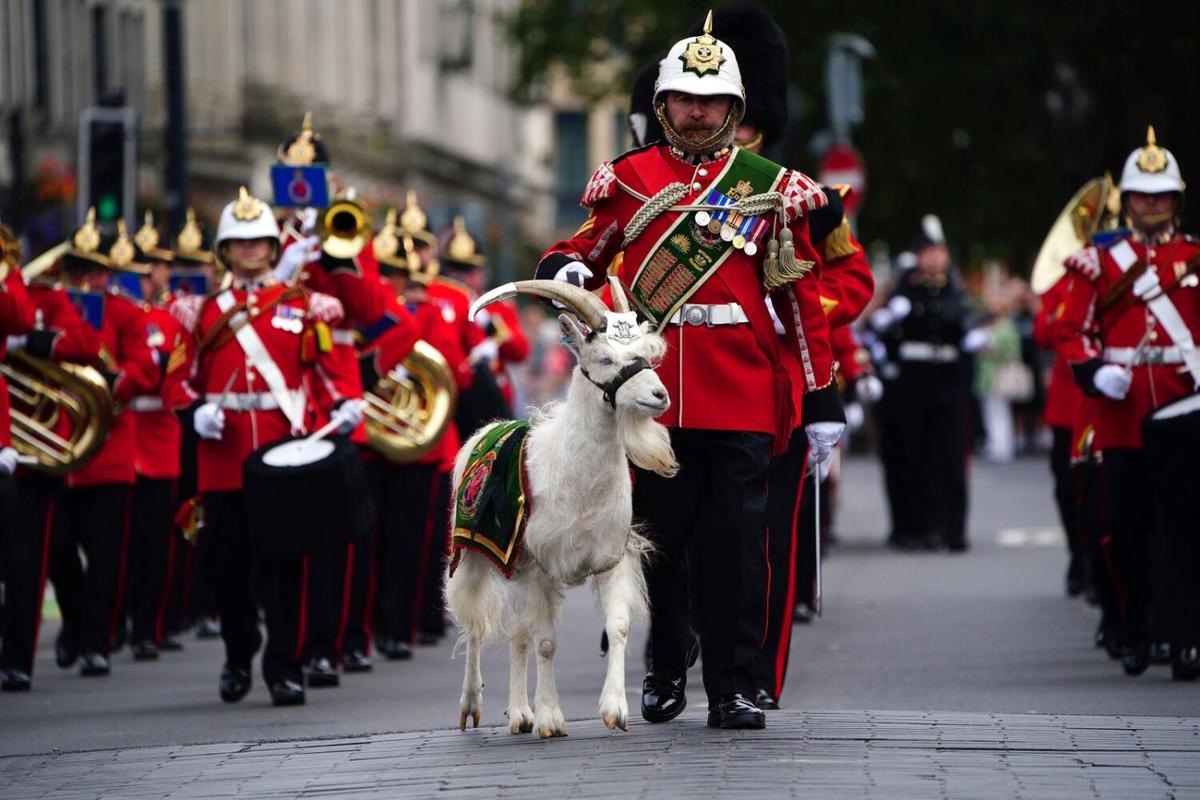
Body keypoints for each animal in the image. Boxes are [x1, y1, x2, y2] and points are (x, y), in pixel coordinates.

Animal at [448, 277, 681, 738]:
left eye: (646, 355)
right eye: (605, 358)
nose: (659, 395)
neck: (576, 477)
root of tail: (488, 429)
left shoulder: (608, 559)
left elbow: (617, 627)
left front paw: (615, 710)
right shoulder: (539, 565)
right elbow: (547, 642)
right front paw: (551, 719)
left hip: (514, 568)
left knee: (517, 634)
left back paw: (519, 714)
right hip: (475, 555)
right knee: (476, 625)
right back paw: (472, 706)